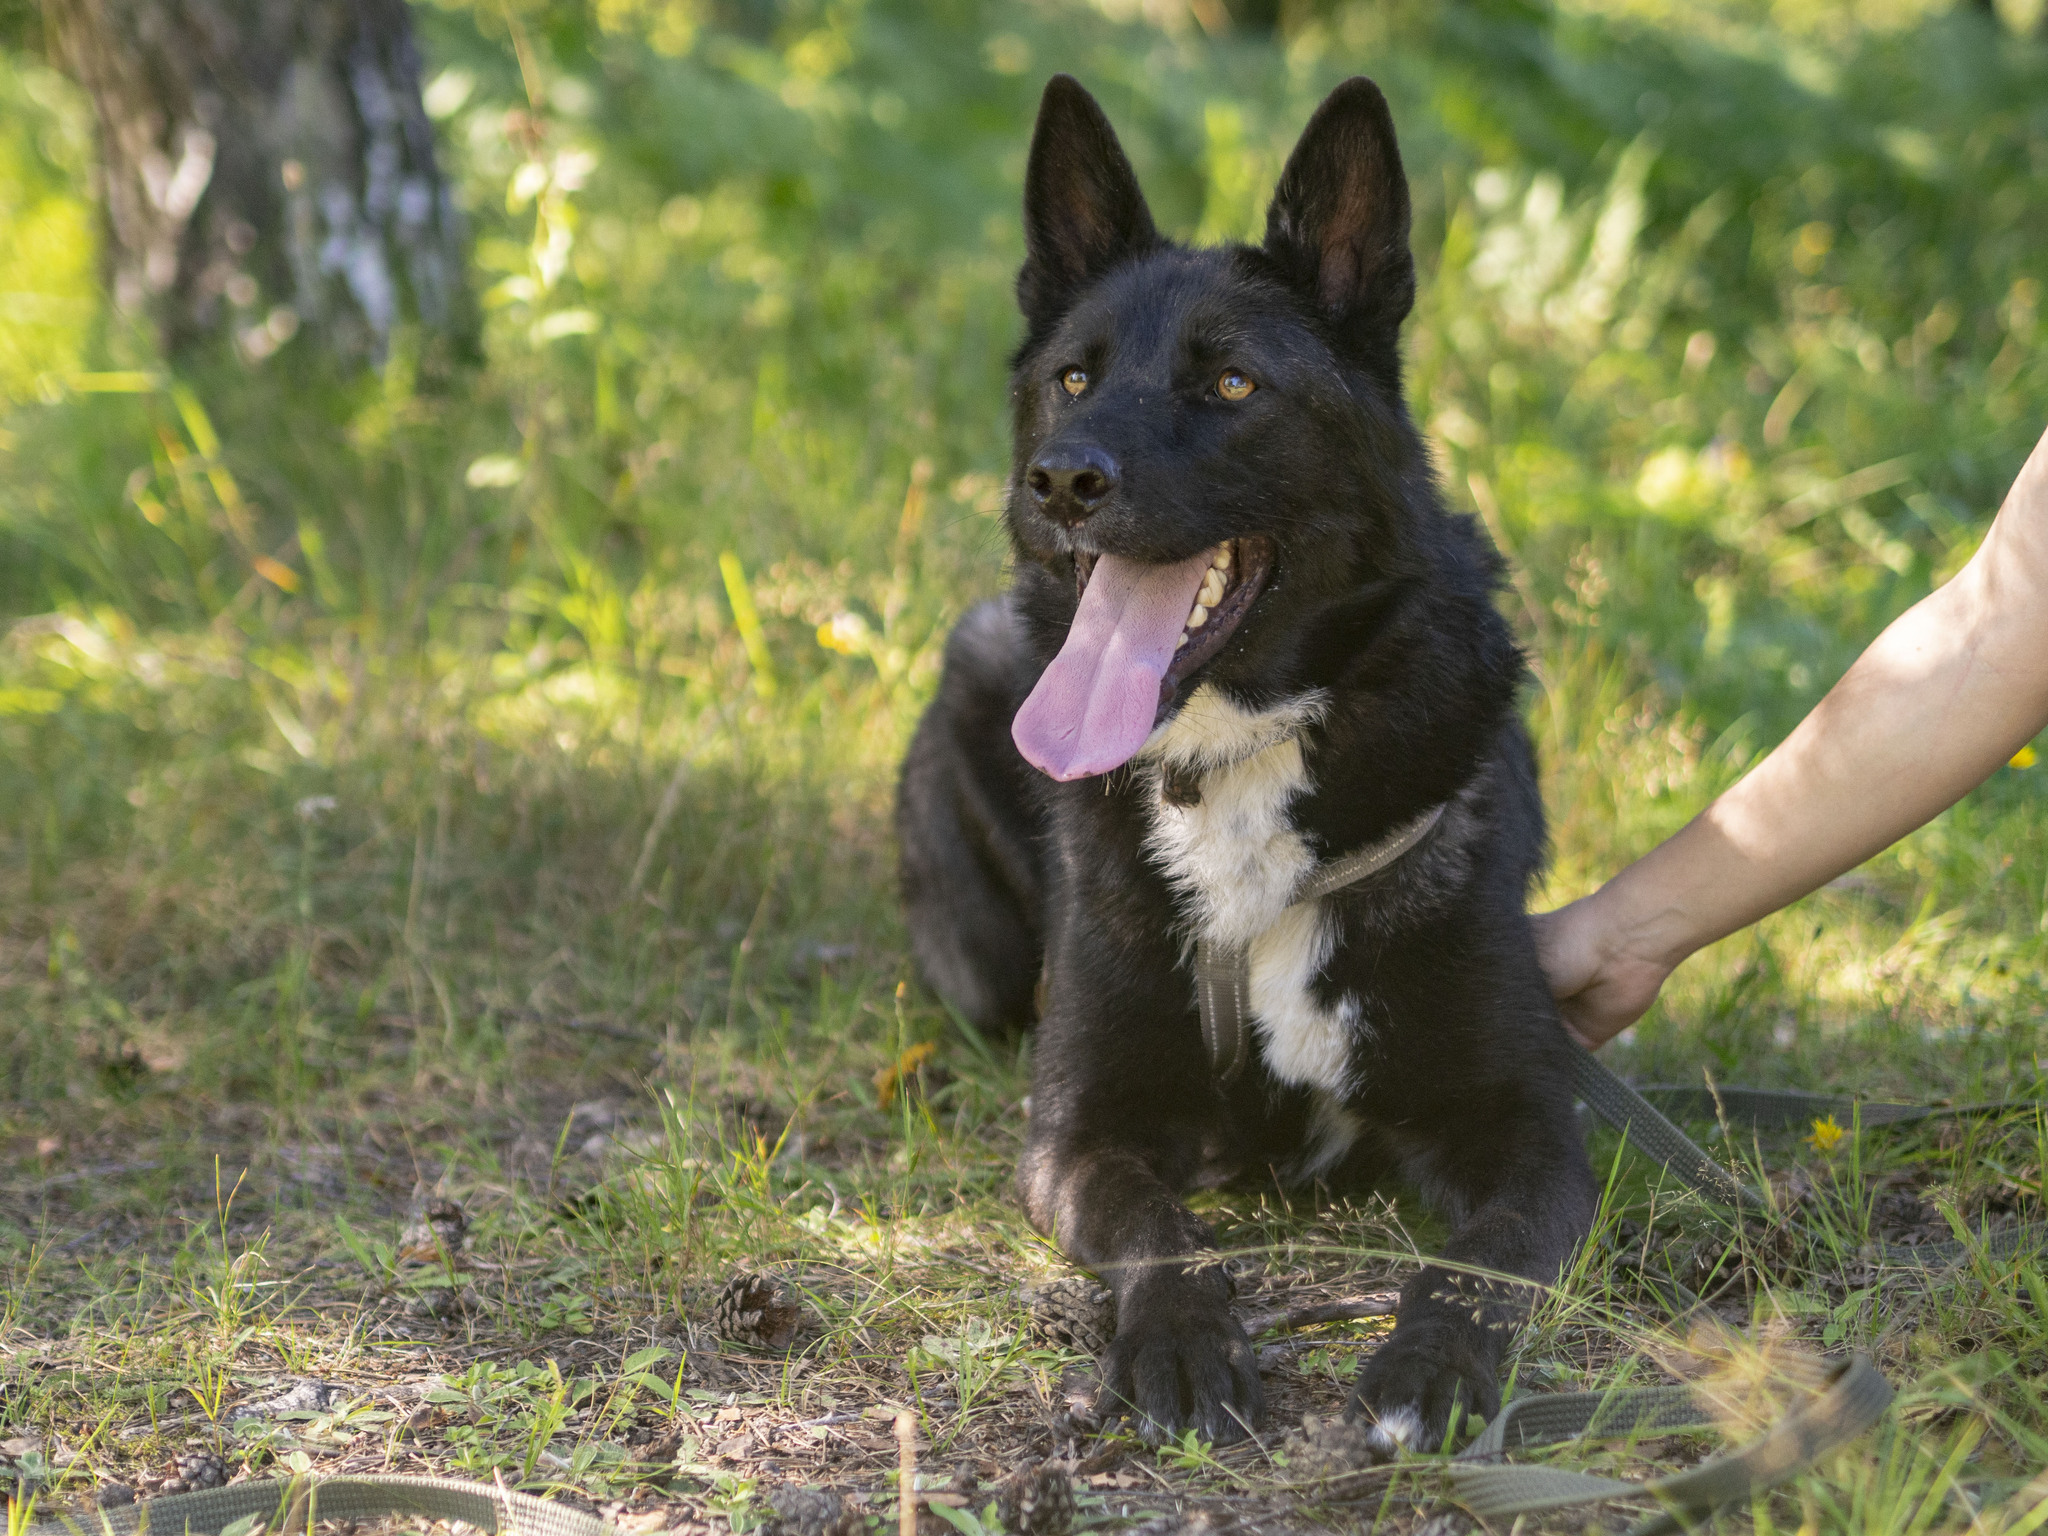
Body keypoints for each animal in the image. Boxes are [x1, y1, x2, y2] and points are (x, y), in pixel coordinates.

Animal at [901, 78, 1597, 1458]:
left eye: (1230, 381)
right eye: (1072, 377)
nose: (1061, 480)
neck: (1234, 754)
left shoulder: (1537, 1129)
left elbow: (1477, 1262)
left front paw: (1430, 1367)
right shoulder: (1079, 1131)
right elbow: (1160, 1232)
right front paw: (1180, 1345)